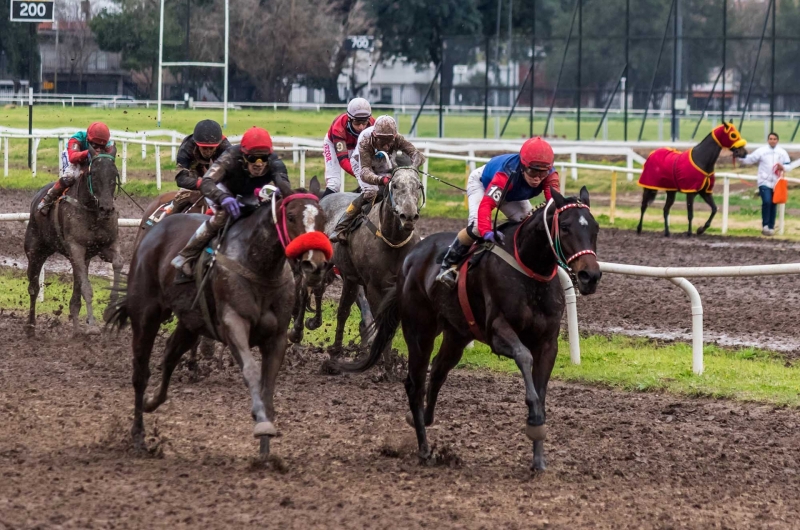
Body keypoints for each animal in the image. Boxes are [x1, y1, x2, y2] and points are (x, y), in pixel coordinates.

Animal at [24, 153, 123, 334]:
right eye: (94, 174)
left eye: (115, 174)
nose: (106, 209)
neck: (92, 212)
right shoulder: (76, 248)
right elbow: (87, 289)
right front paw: (92, 324)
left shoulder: (106, 246)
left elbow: (118, 263)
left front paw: (110, 309)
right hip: (35, 251)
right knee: (34, 288)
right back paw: (30, 326)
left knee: (76, 292)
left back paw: (76, 329)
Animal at [106, 182, 332, 454]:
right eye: (290, 216)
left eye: (323, 218)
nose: (315, 265)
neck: (260, 267)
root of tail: (154, 230)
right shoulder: (233, 325)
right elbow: (251, 370)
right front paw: (260, 423)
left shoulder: (276, 337)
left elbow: (268, 386)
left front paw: (266, 447)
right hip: (146, 315)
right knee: (141, 372)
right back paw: (138, 434)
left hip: (190, 322)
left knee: (170, 355)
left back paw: (153, 401)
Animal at [332, 188, 600, 468]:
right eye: (566, 226)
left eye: (596, 227)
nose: (590, 276)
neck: (529, 271)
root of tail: (410, 258)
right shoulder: (497, 331)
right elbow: (523, 356)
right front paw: (534, 419)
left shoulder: (548, 343)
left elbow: (541, 389)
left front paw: (538, 456)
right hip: (420, 331)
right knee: (415, 383)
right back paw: (424, 448)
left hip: (457, 335)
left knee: (438, 371)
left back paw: (423, 419)